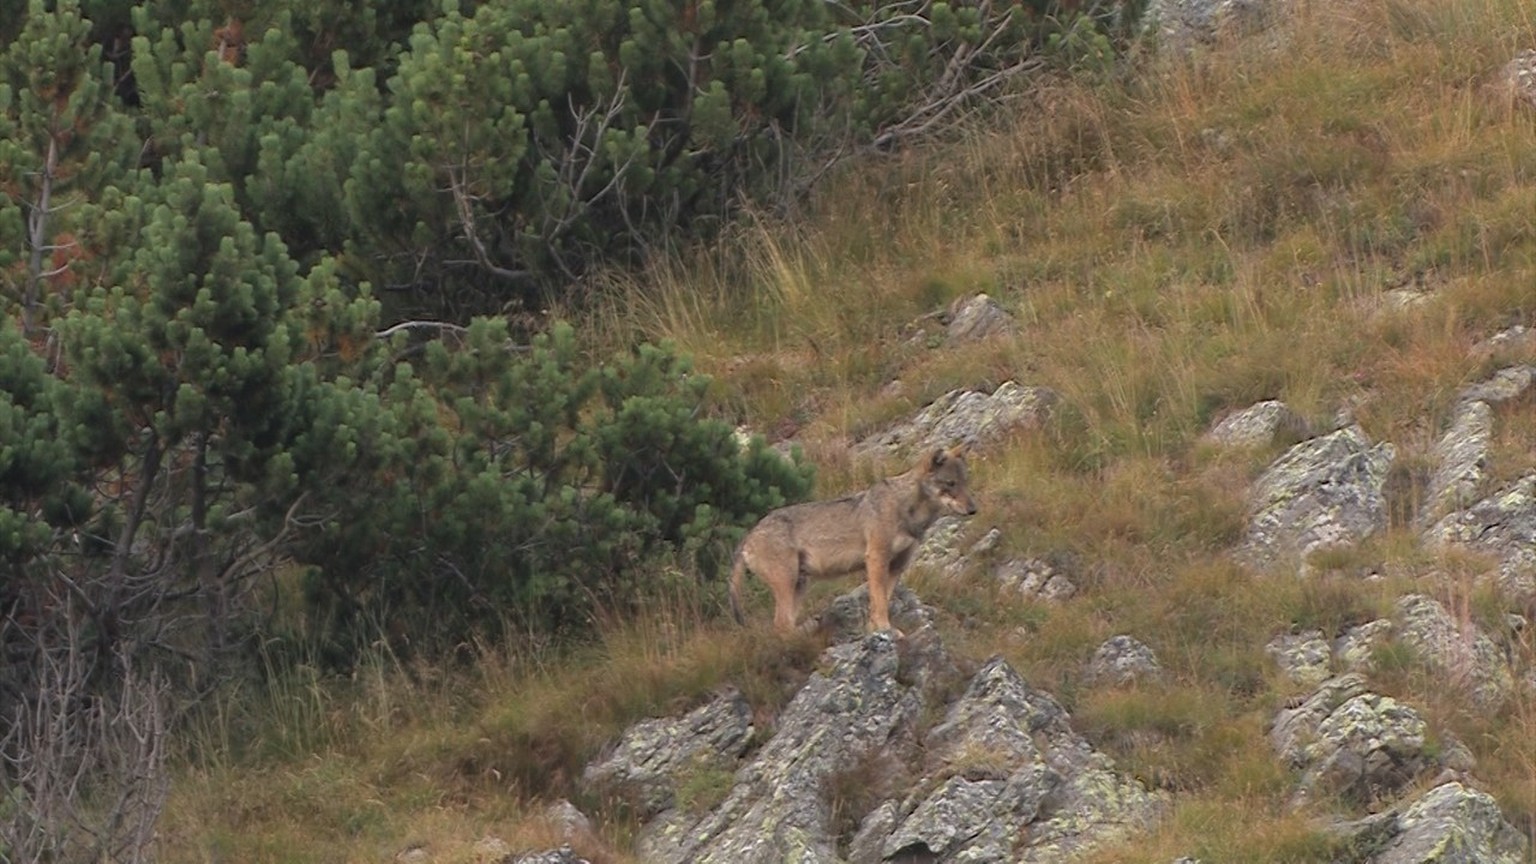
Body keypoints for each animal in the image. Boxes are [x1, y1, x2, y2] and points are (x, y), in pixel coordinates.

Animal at [728, 442, 970, 633]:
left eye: (965, 482)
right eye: (950, 484)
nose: (973, 509)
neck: (907, 508)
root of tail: (748, 536)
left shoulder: (896, 566)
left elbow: (882, 599)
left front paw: (876, 629)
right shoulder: (876, 558)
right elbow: (879, 601)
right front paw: (886, 630)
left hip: (800, 585)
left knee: (783, 624)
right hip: (787, 582)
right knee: (780, 625)